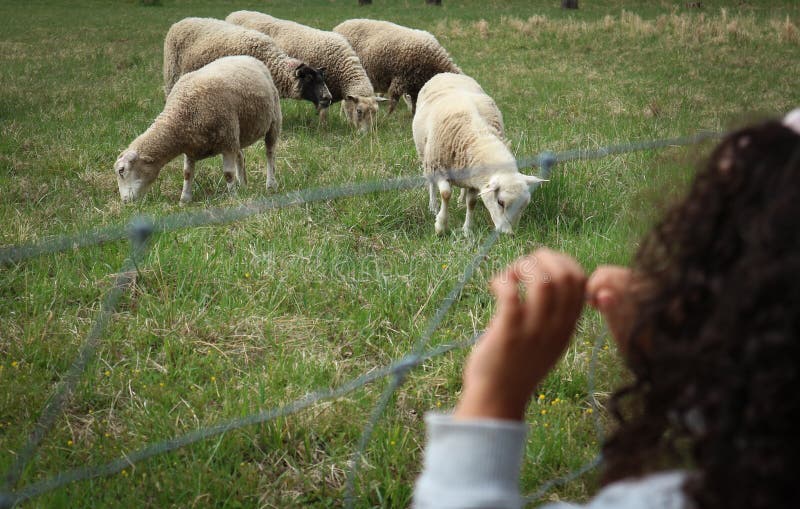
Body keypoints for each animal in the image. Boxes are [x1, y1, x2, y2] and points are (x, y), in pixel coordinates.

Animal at [114, 53, 282, 200]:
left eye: (121, 170)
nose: (125, 201)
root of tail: (245, 56)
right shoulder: (192, 149)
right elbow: (187, 173)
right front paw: (184, 200)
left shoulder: (227, 142)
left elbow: (228, 174)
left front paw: (234, 197)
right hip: (237, 132)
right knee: (241, 156)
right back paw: (244, 186)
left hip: (273, 120)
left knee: (270, 153)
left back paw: (271, 184)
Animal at [164, 17, 330, 114]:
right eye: (308, 79)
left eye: (322, 78)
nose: (328, 98)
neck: (268, 60)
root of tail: (181, 21)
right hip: (172, 71)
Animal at [225, 10, 388, 133]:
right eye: (359, 111)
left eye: (376, 112)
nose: (365, 135)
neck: (343, 67)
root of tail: (235, 13)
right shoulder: (324, 91)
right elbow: (323, 114)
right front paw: (323, 129)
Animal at [332, 18, 462, 114]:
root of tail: (339, 26)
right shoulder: (400, 79)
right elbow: (393, 102)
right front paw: (387, 117)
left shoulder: (414, 85)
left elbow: (414, 104)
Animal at [412, 72, 544, 235]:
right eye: (500, 202)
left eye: (524, 206)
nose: (509, 234)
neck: (477, 135)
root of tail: (447, 73)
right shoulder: (439, 168)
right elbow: (446, 194)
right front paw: (441, 226)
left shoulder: (476, 179)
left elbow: (472, 202)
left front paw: (467, 230)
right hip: (426, 156)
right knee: (430, 182)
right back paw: (433, 206)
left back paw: (460, 201)